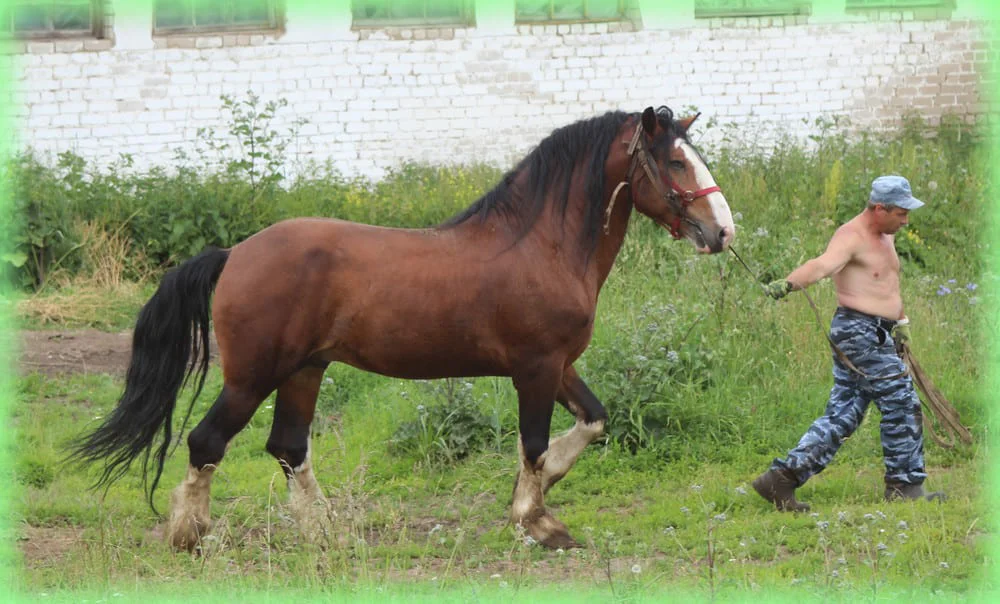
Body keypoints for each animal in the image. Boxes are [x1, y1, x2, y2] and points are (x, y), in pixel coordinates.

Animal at [66, 105, 732, 552]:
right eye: (676, 161)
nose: (723, 231)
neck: (539, 244)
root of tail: (234, 254)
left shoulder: (559, 366)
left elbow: (591, 422)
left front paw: (540, 500)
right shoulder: (537, 369)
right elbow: (535, 444)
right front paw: (538, 521)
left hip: (305, 371)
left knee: (287, 448)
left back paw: (327, 534)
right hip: (252, 377)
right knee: (207, 443)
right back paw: (190, 534)